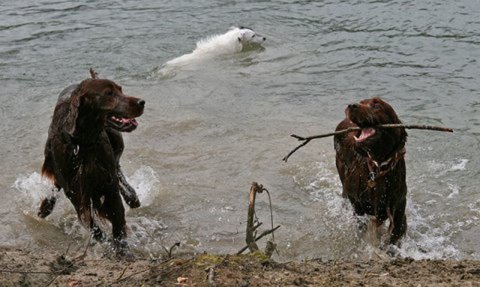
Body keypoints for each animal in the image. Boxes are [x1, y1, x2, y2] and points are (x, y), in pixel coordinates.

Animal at [39, 77, 144, 256]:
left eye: (120, 89)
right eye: (109, 93)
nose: (141, 102)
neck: (83, 143)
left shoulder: (108, 185)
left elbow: (118, 220)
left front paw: (122, 250)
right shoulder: (76, 193)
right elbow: (93, 227)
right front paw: (107, 243)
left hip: (116, 139)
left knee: (118, 168)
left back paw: (131, 195)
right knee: (56, 185)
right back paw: (45, 207)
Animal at [334, 98, 408, 246]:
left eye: (377, 104)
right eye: (362, 101)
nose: (351, 105)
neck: (379, 166)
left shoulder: (399, 203)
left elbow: (397, 230)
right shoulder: (357, 201)